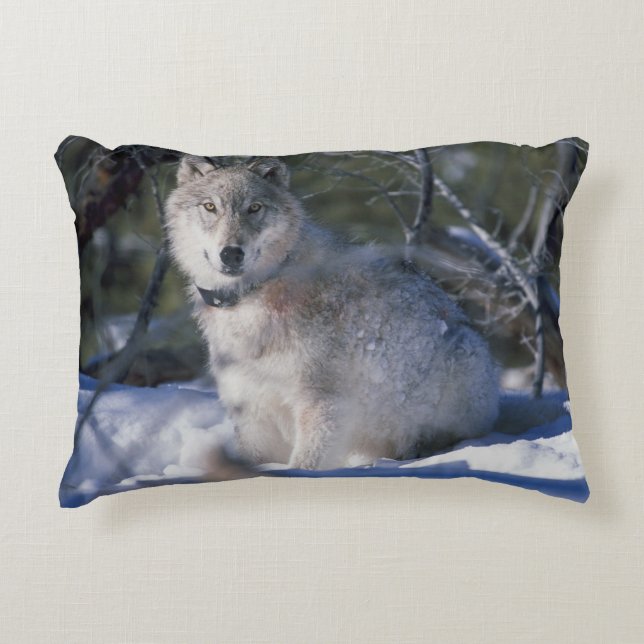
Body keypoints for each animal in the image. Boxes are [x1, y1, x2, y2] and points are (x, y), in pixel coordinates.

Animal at [165, 155, 500, 470]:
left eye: (254, 207)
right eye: (210, 207)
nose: (231, 253)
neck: (254, 294)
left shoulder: (322, 402)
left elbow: (305, 465)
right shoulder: (251, 408)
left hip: (458, 362)